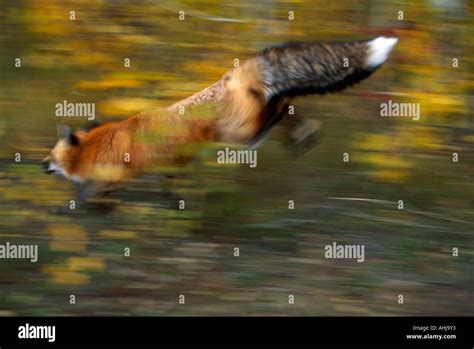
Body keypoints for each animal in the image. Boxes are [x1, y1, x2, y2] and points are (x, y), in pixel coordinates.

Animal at [42, 36, 396, 193]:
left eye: (51, 155)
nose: (39, 164)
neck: (99, 144)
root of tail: (230, 77)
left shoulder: (114, 177)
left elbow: (93, 196)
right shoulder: (169, 170)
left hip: (242, 135)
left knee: (277, 112)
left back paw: (301, 132)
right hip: (249, 126)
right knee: (285, 99)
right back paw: (303, 132)